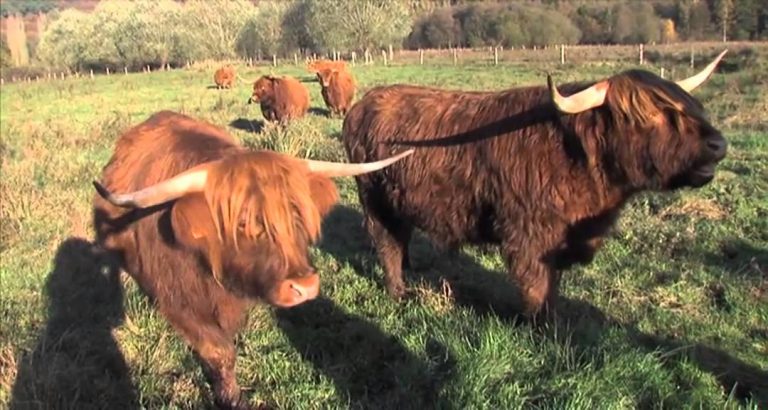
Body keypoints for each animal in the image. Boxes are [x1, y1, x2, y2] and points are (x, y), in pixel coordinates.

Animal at [91, 110, 413, 410]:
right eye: (243, 222)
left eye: (297, 213)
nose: (305, 287)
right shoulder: (179, 302)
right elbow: (219, 352)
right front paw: (231, 398)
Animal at [342, 50, 729, 319]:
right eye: (648, 115)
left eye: (689, 105)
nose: (719, 144)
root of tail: (362, 105)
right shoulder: (529, 234)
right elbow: (536, 285)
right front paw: (542, 326)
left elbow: (552, 283)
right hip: (375, 199)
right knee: (387, 243)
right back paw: (399, 291)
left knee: (401, 237)